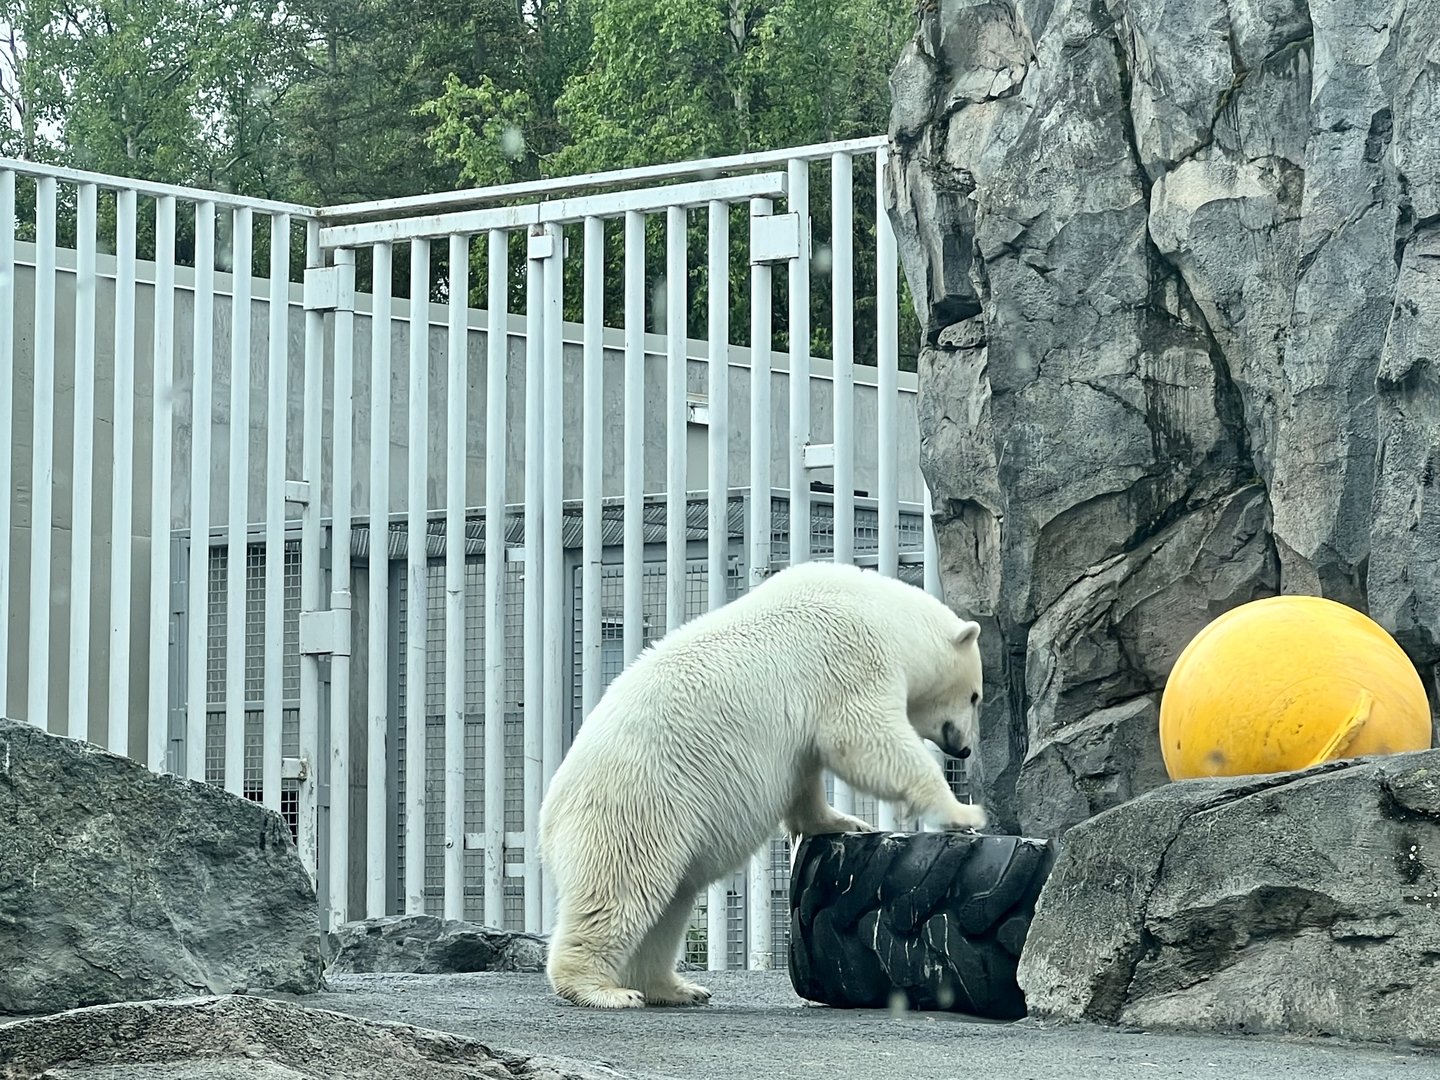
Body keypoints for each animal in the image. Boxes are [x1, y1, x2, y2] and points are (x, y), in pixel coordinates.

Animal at [537, 560, 988, 1009]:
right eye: (975, 696)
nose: (964, 749)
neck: (882, 612)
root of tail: (550, 818)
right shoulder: (849, 656)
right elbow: (865, 740)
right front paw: (964, 811)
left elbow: (806, 778)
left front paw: (846, 822)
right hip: (639, 806)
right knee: (620, 890)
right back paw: (602, 989)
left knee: (669, 907)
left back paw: (677, 987)